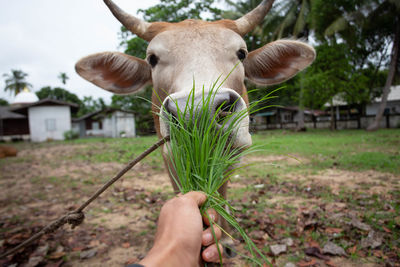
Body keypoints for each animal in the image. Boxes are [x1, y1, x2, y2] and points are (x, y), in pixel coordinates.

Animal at [76, 0, 316, 258]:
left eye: (241, 53)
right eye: (152, 59)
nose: (198, 111)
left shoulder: (231, 154)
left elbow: (221, 190)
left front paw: (225, 238)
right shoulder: (169, 153)